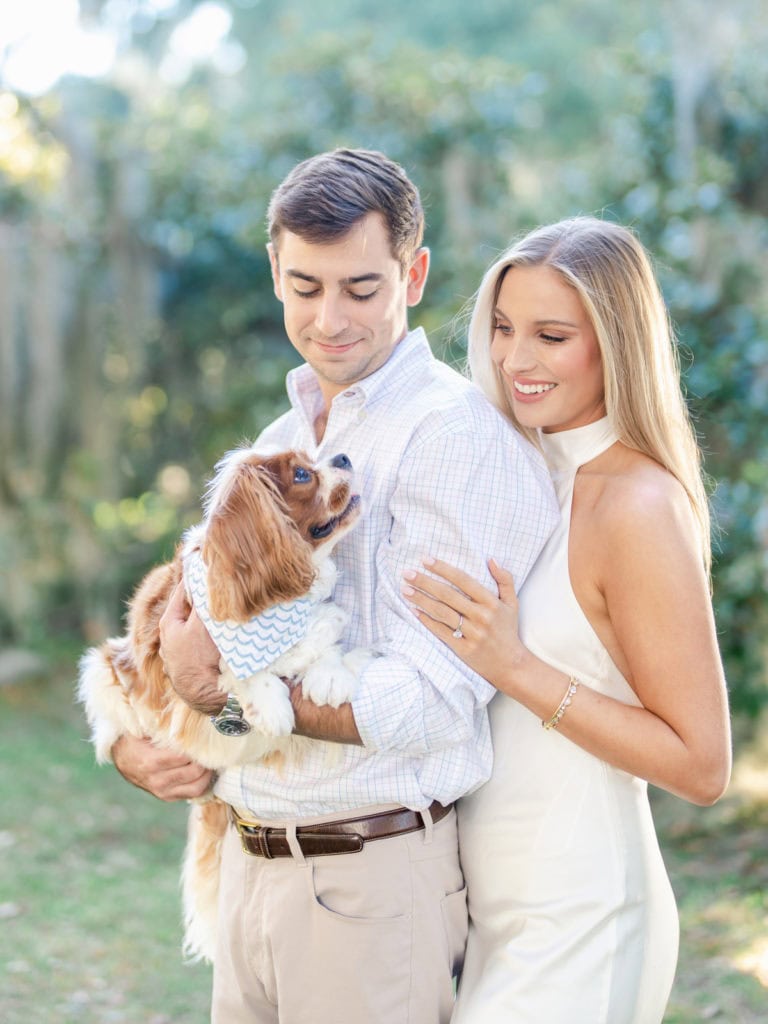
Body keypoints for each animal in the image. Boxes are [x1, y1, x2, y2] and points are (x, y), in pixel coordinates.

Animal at [77, 446, 372, 958]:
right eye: (302, 473)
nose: (342, 455)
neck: (278, 603)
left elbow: (326, 644)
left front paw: (329, 674)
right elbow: (237, 669)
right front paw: (269, 700)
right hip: (103, 667)